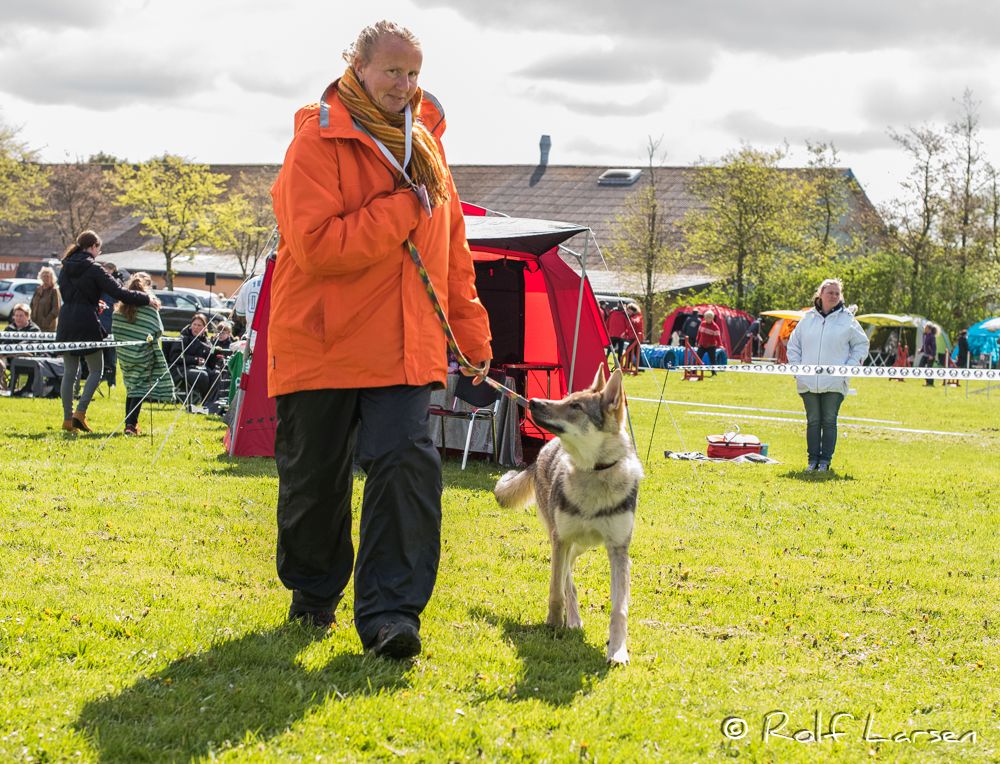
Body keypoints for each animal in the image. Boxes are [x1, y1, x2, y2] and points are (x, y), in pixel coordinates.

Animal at [492, 368, 640, 664]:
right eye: (567, 398)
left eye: (576, 407)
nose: (533, 401)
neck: (593, 473)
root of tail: (541, 452)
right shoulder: (561, 540)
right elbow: (555, 590)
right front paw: (553, 624)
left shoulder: (618, 549)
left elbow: (619, 609)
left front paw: (617, 652)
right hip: (562, 539)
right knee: (567, 581)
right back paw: (572, 620)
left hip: (580, 546)